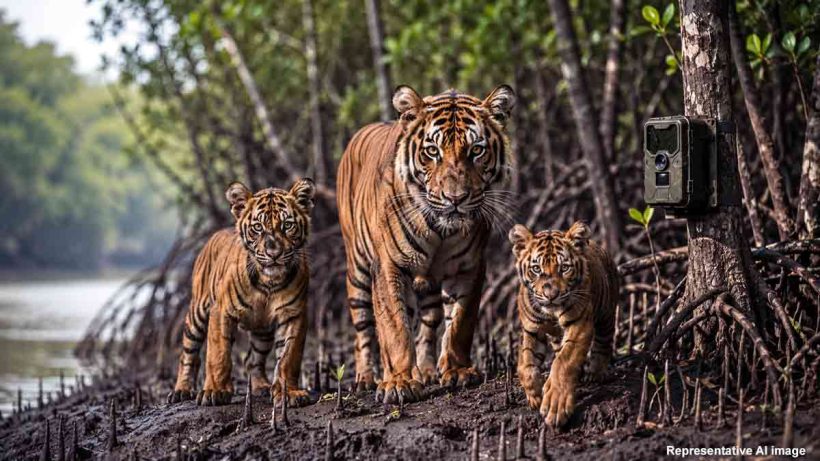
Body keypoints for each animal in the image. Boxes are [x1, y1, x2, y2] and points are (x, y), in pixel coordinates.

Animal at [167, 178, 315, 407]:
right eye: (258, 227)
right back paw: (181, 390)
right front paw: (215, 391)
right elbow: (218, 354)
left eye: (287, 225)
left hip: (262, 331)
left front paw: (289, 393)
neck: (268, 283)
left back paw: (261, 386)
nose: (274, 253)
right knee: (188, 355)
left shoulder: (294, 314)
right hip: (197, 314)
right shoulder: (220, 311)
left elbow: (289, 357)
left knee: (252, 360)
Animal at [337, 85, 516, 403]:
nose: (455, 198)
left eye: (476, 150)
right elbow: (394, 327)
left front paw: (457, 371)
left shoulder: (469, 267)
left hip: (429, 281)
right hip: (357, 269)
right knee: (364, 329)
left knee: (429, 320)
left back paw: (427, 371)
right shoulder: (389, 266)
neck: (441, 232)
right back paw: (365, 379)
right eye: (432, 151)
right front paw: (398, 383)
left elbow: (460, 322)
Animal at [508, 221, 618, 427]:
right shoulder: (531, 329)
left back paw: (595, 373)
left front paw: (556, 404)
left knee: (604, 343)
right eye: (536, 269)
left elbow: (563, 362)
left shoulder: (579, 325)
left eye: (564, 268)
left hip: (607, 312)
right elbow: (525, 364)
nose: (551, 294)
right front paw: (535, 395)